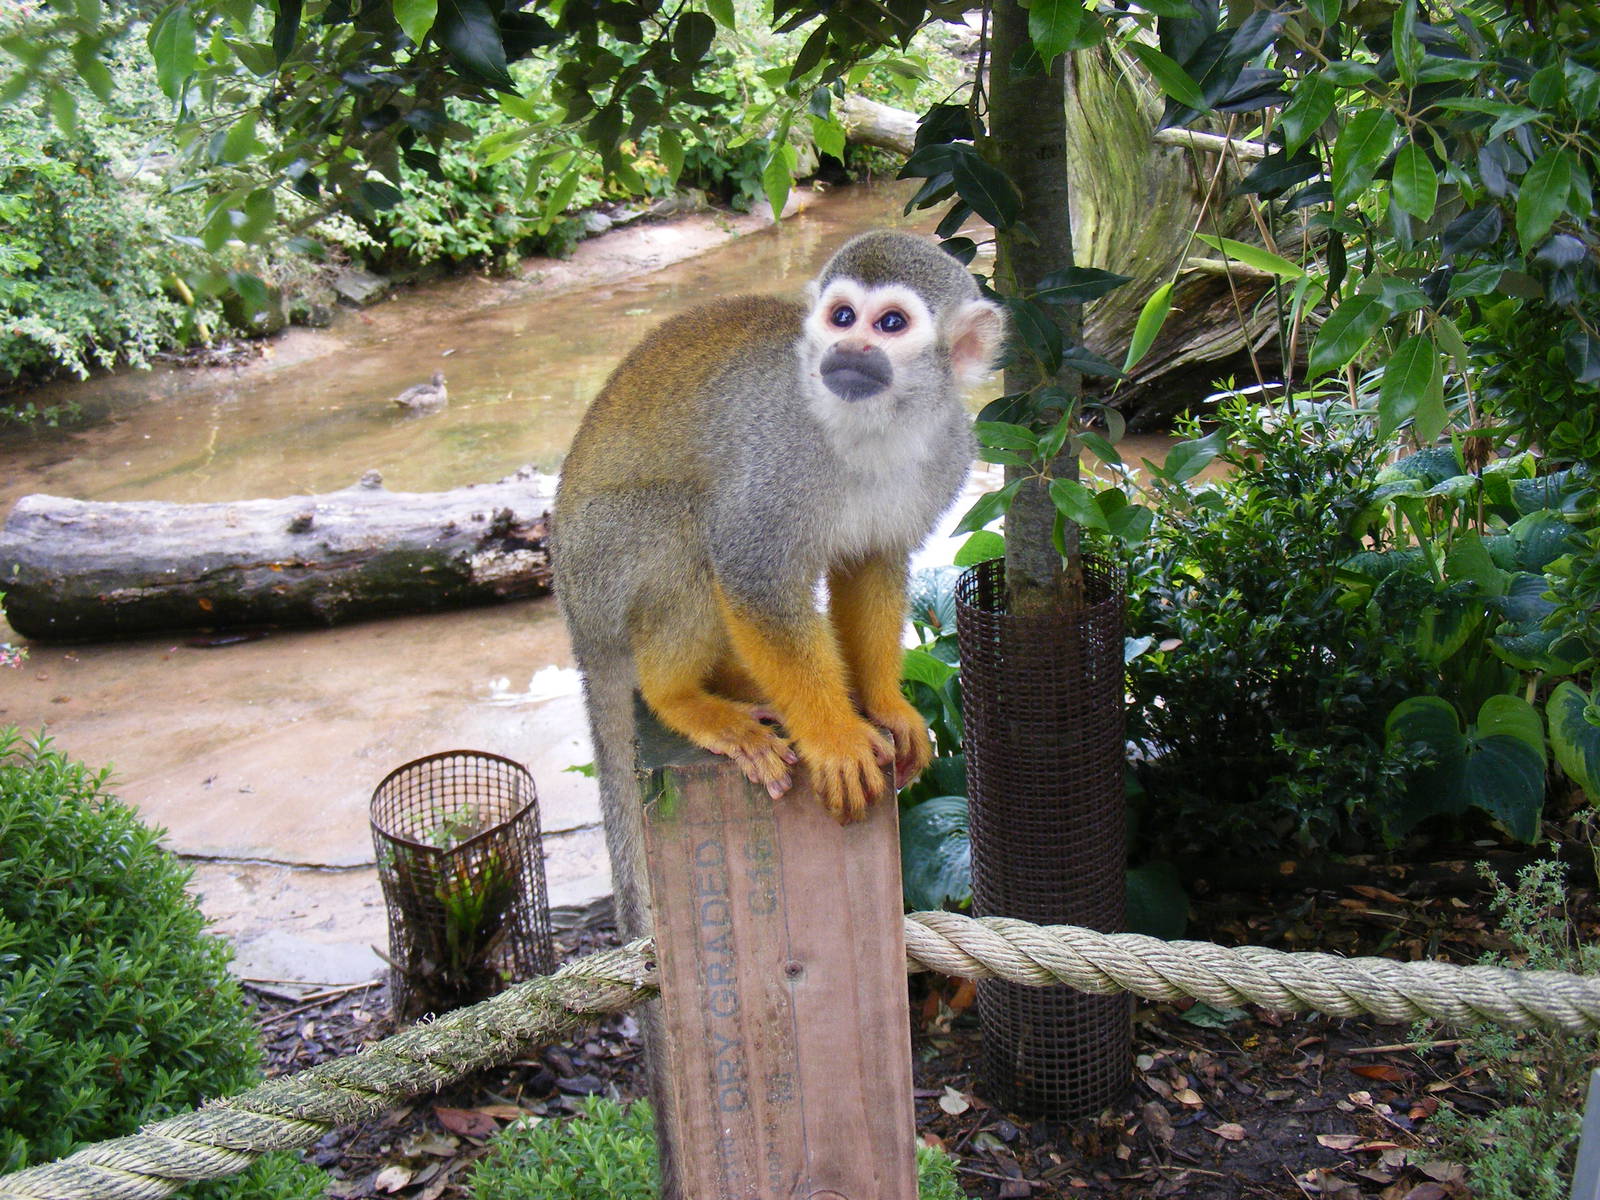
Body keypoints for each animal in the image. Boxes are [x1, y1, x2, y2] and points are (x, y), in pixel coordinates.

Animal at [552, 230, 1004, 939]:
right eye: (842, 317)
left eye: (890, 324)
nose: (848, 350)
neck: (872, 425)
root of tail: (574, 619)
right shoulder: (776, 456)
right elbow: (749, 568)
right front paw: (834, 738)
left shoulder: (950, 448)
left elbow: (872, 564)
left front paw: (885, 706)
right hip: (598, 568)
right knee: (689, 526)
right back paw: (681, 698)